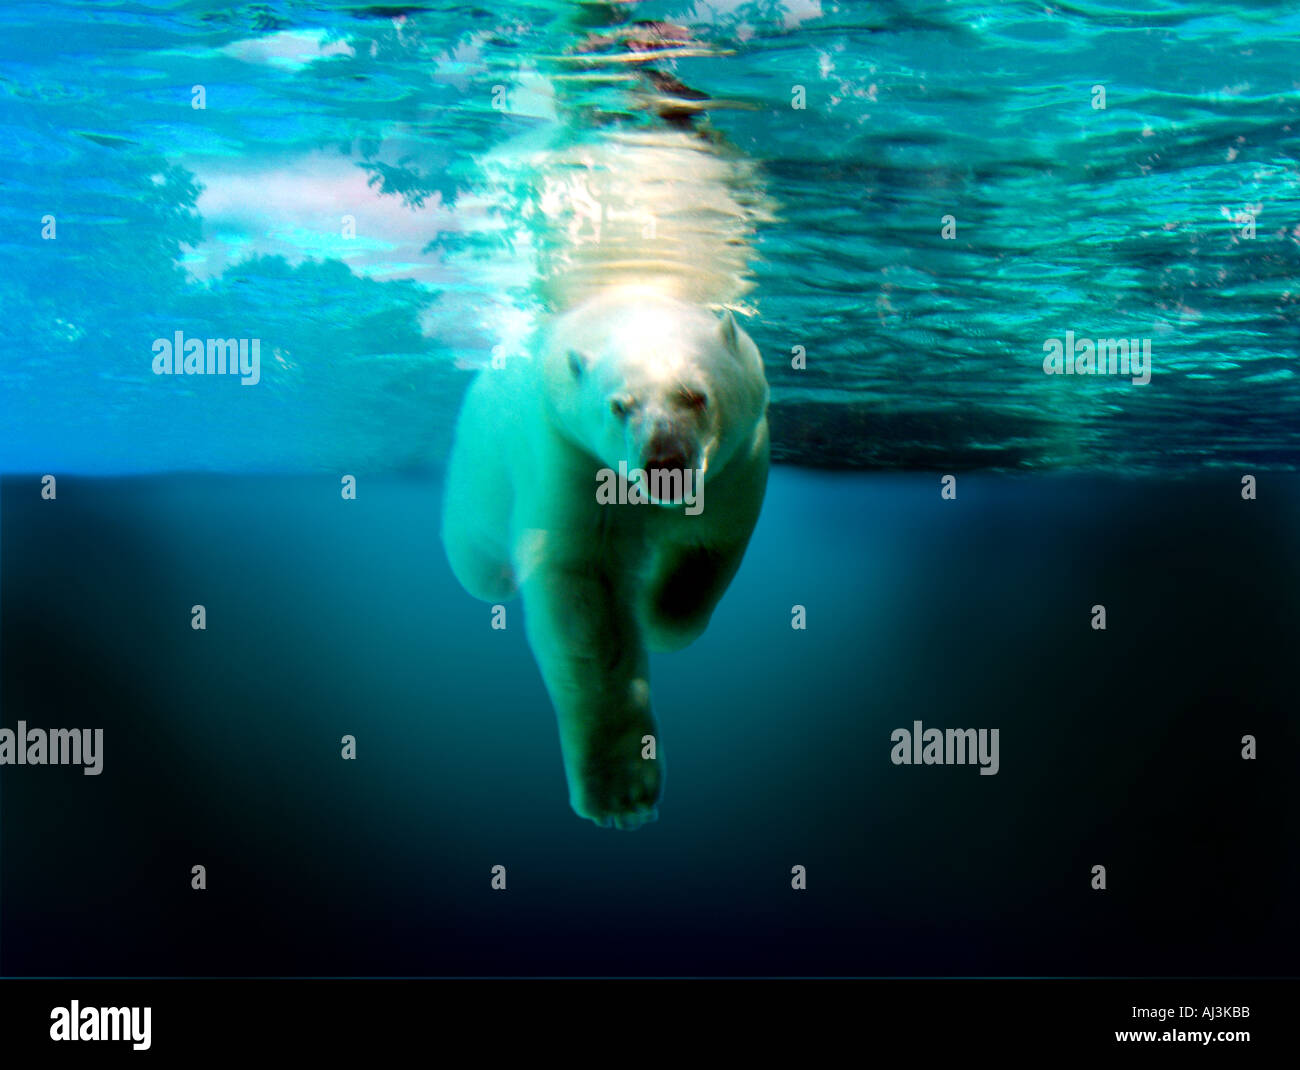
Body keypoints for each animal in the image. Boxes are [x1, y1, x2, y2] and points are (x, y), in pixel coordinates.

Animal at [441, 284, 769, 828]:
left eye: (695, 395)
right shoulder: (569, 455)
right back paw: (486, 575)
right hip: (484, 454)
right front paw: (623, 798)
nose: (664, 465)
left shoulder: (739, 462)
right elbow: (587, 602)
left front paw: (658, 620)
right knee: (475, 534)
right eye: (619, 405)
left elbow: (708, 545)